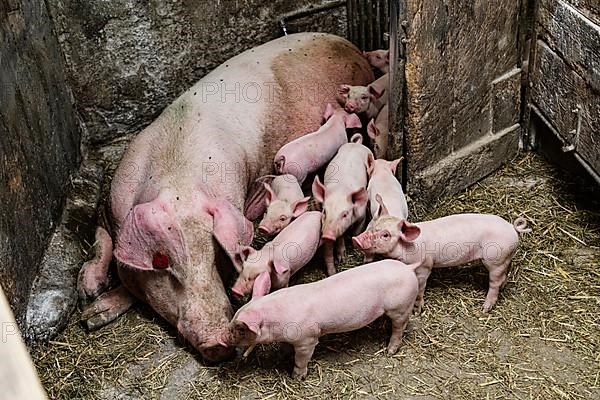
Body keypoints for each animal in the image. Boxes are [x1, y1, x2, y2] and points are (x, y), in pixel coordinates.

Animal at [216, 260, 418, 378]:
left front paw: (296, 377)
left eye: (241, 329)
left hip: (400, 307)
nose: (221, 338)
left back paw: (390, 351)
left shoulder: (308, 339)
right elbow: (284, 347)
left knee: (399, 327)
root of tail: (408, 268)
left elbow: (302, 359)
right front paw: (282, 354)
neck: (277, 321)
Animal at [312, 136, 372, 276]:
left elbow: (357, 230)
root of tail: (356, 144)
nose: (327, 235)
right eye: (324, 212)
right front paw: (341, 258)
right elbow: (340, 237)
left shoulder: (362, 216)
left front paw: (354, 244)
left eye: (345, 214)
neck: (340, 191)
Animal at [354, 208, 532, 314]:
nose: (356, 239)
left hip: (495, 260)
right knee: (504, 275)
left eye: (386, 235)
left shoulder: (424, 267)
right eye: (372, 226)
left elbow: (421, 287)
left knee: (494, 283)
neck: (406, 247)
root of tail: (512, 228)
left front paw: (417, 311)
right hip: (504, 259)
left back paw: (485, 308)